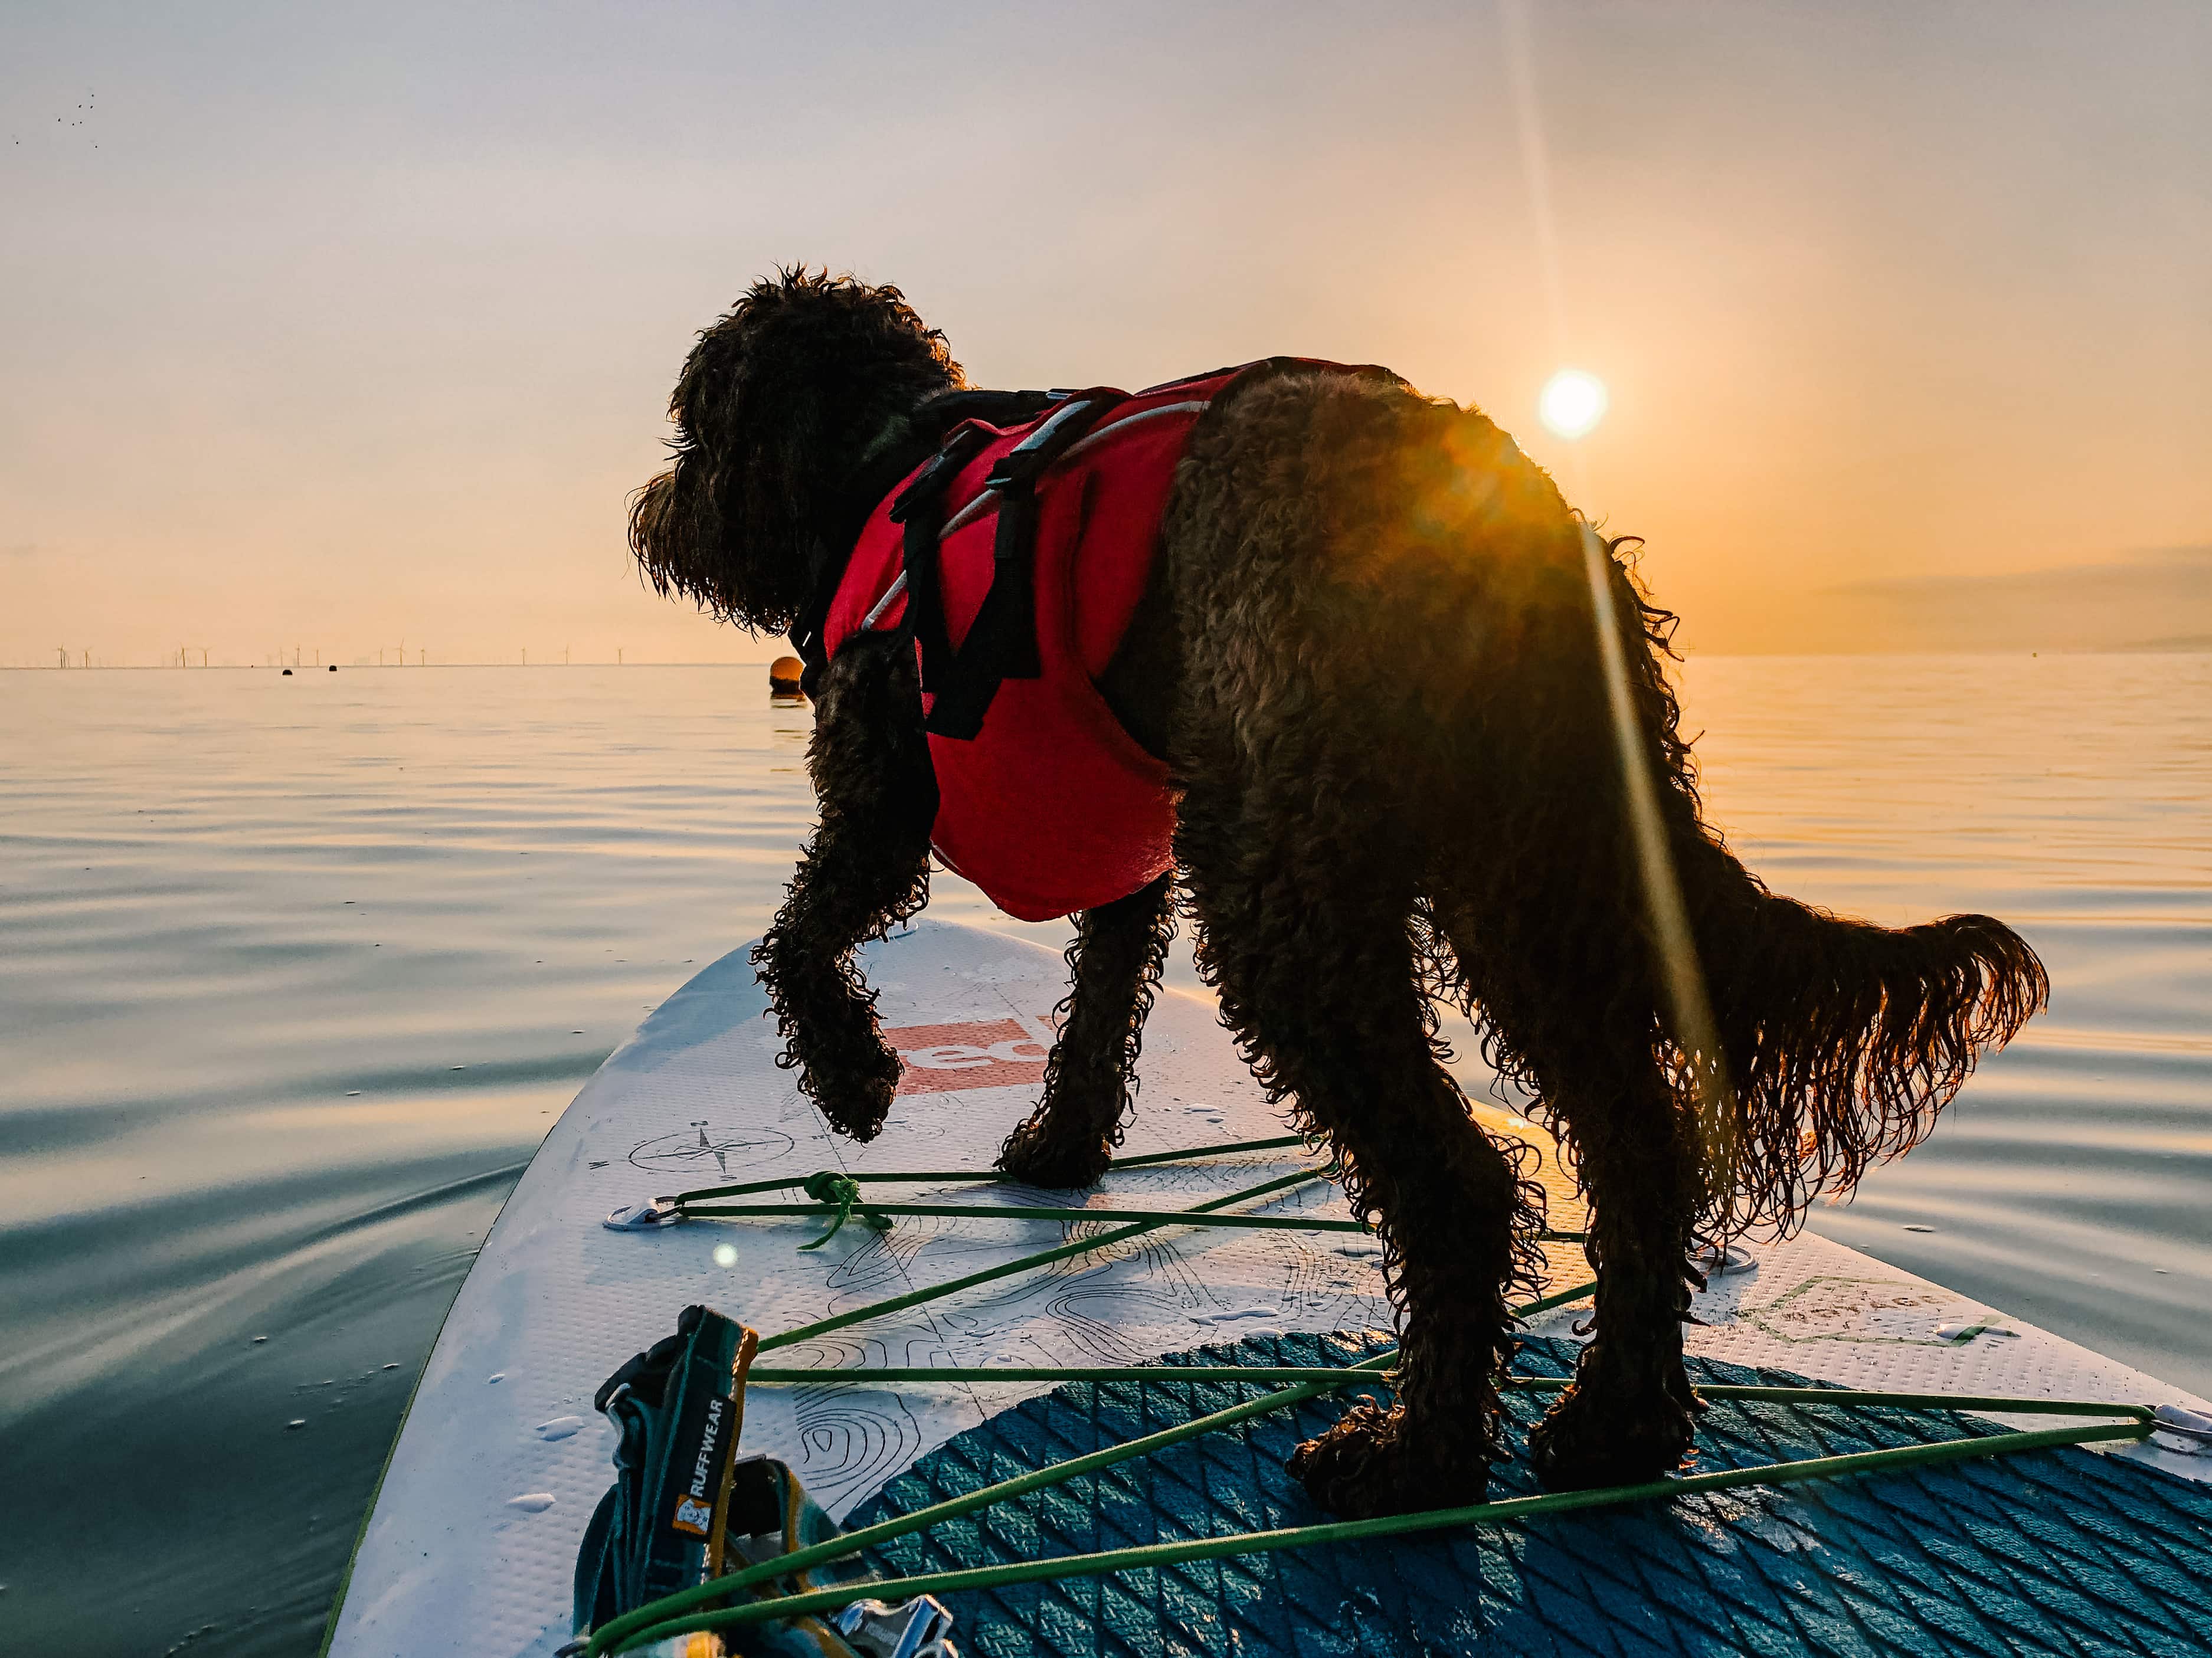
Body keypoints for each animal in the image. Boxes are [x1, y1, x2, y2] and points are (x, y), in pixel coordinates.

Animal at [632, 270, 2044, 1521]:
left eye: (697, 422)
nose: (653, 512)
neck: (904, 460)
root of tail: (1535, 526)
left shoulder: (878, 793)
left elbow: (798, 937)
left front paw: (856, 1081)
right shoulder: (1129, 862)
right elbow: (1094, 1010)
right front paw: (1060, 1149)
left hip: (1293, 890)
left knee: (1460, 1188)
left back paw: (1413, 1458)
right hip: (1535, 894)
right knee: (1637, 1155)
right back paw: (1613, 1428)